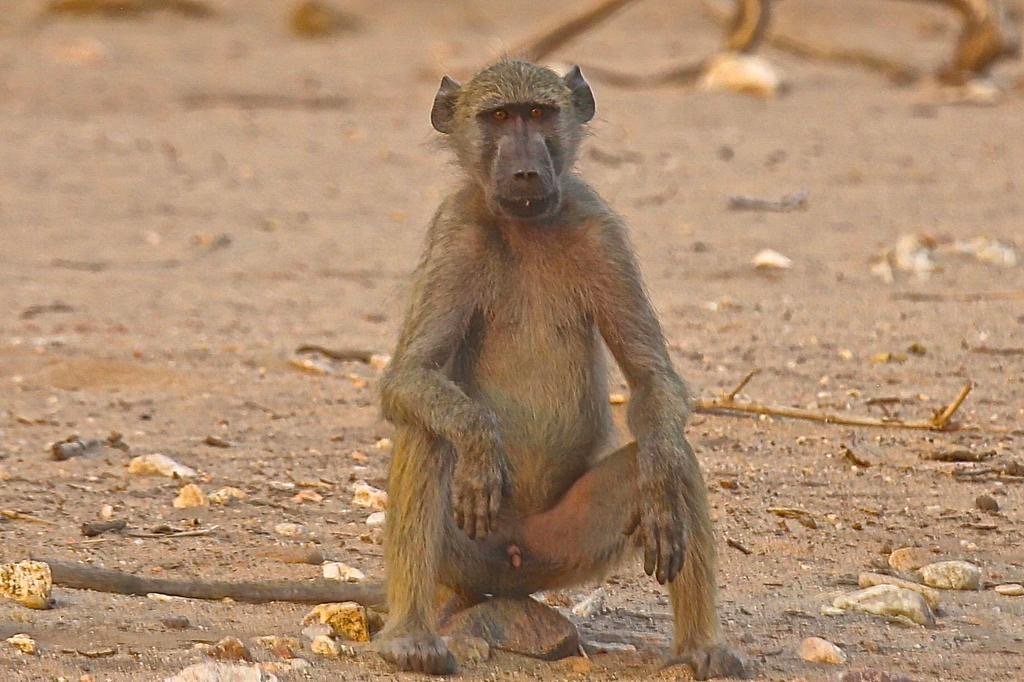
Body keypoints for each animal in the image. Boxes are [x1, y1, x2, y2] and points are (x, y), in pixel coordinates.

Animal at [376, 58, 749, 679]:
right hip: (464, 552)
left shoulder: (600, 229)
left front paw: (661, 482)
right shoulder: (455, 231)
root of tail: (513, 562)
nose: (526, 171)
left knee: (674, 458)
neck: (526, 225)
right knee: (425, 432)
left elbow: (653, 383)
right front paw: (480, 443)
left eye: (538, 113)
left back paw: (702, 647)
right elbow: (409, 377)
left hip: (565, 546)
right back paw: (411, 638)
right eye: (499, 118)